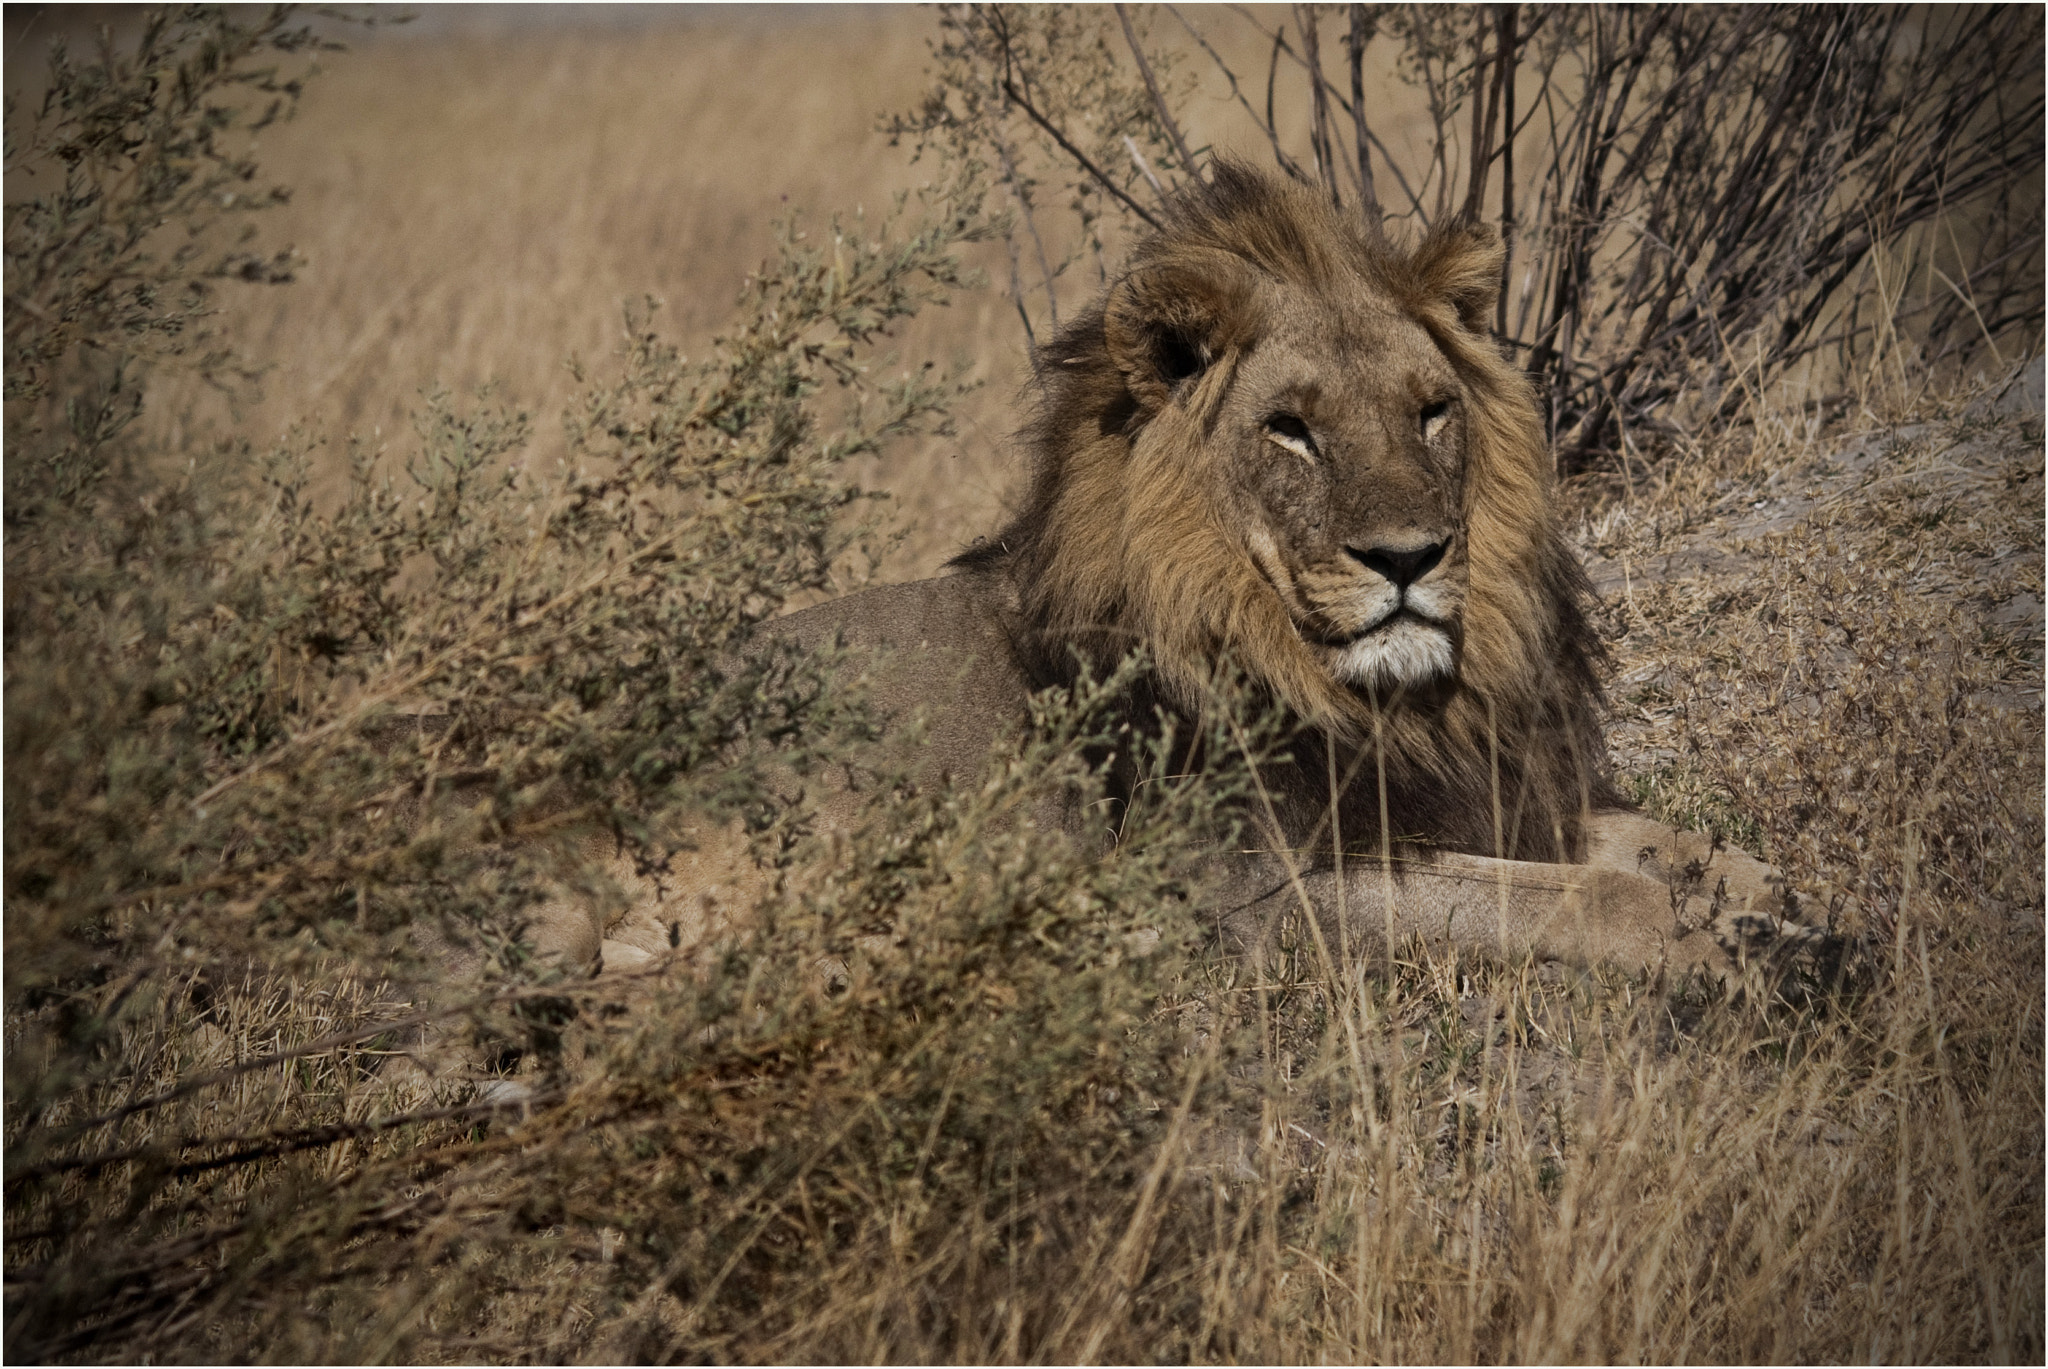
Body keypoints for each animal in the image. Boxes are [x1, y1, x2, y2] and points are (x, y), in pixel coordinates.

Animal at [535, 162, 1824, 990]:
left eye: (1430, 412)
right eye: (1289, 430)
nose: (1408, 557)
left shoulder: (1482, 794)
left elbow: (1655, 841)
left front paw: (1773, 898)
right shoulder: (1254, 893)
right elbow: (1563, 896)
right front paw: (1710, 941)